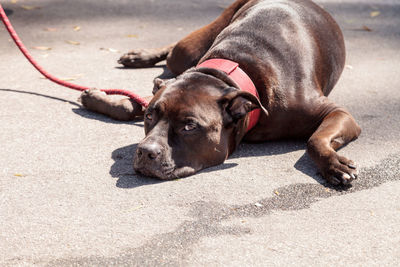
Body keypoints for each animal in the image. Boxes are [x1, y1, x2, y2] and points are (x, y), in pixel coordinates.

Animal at [79, 0, 360, 185]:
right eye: (150, 117)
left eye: (189, 126)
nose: (145, 151)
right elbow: (131, 105)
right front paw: (97, 98)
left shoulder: (338, 113)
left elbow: (314, 140)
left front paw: (333, 164)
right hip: (189, 49)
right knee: (173, 51)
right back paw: (140, 56)